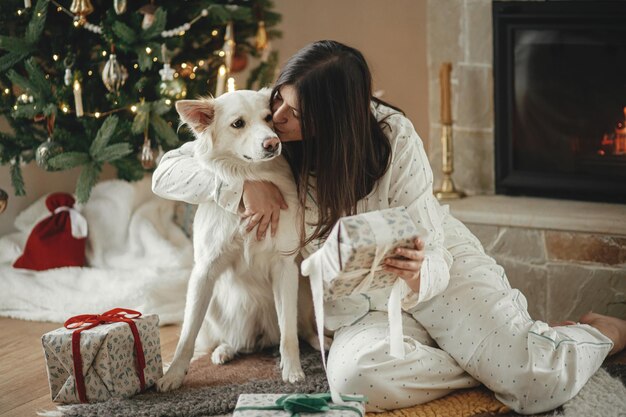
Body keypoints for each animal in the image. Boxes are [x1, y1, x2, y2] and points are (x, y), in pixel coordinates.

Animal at [154, 89, 314, 392]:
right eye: (238, 124)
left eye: (268, 117)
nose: (273, 143)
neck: (252, 174)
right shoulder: (204, 271)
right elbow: (186, 335)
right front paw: (174, 374)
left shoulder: (285, 266)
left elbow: (288, 331)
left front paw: (293, 370)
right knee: (234, 340)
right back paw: (224, 350)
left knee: (297, 331)